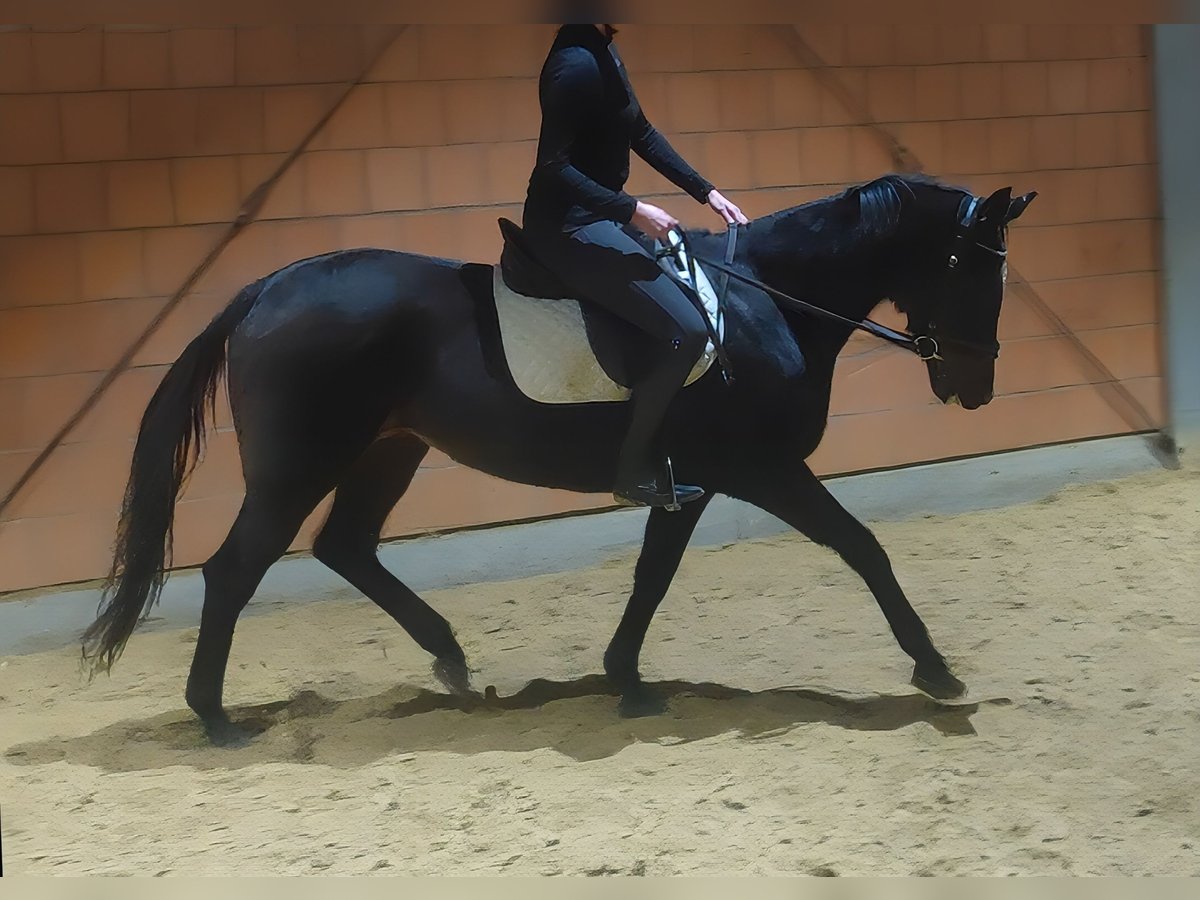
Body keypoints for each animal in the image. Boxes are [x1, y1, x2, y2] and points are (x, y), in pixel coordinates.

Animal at [82, 173, 1036, 746]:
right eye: (973, 268)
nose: (977, 385)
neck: (763, 308)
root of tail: (267, 288)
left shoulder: (688, 485)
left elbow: (652, 577)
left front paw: (627, 679)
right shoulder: (763, 471)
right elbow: (862, 547)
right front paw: (936, 670)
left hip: (390, 449)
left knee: (346, 547)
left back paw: (452, 663)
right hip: (298, 467)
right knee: (234, 571)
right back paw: (216, 719)